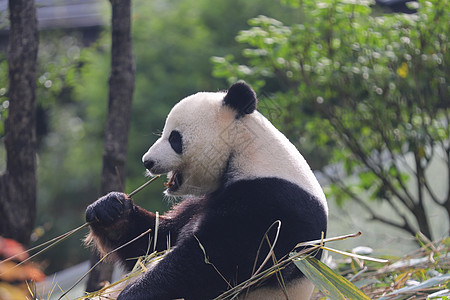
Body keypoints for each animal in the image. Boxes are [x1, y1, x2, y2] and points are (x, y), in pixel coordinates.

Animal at [86, 81, 328, 298]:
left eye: (174, 138)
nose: (147, 161)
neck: (247, 153)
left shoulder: (272, 203)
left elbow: (213, 262)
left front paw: (135, 292)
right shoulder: (205, 199)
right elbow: (155, 241)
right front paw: (109, 209)